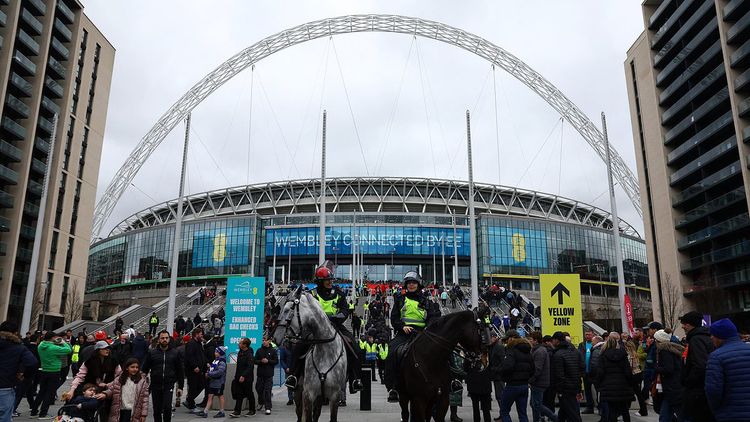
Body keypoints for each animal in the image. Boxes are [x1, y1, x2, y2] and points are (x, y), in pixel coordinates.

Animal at [274, 286, 350, 420]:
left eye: (287, 310)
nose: (275, 338)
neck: (325, 352)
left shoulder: (334, 396)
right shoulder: (308, 394)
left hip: (320, 398)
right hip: (299, 393)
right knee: (299, 414)